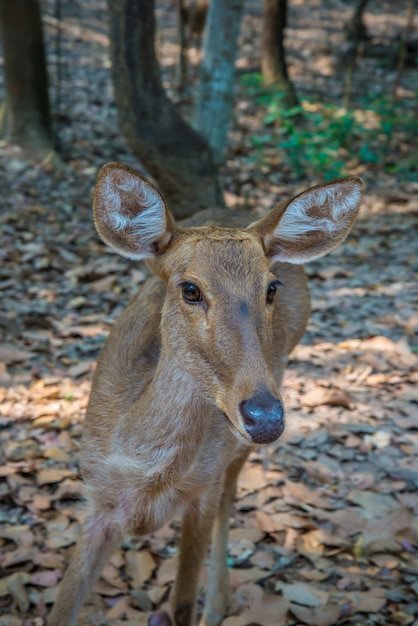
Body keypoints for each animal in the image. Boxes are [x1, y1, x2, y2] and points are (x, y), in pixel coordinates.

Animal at [47, 162, 362, 624]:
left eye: (271, 288)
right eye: (190, 289)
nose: (265, 416)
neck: (146, 479)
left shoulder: (204, 489)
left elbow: (181, 603)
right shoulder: (97, 500)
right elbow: (61, 607)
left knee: (230, 502)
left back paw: (218, 605)